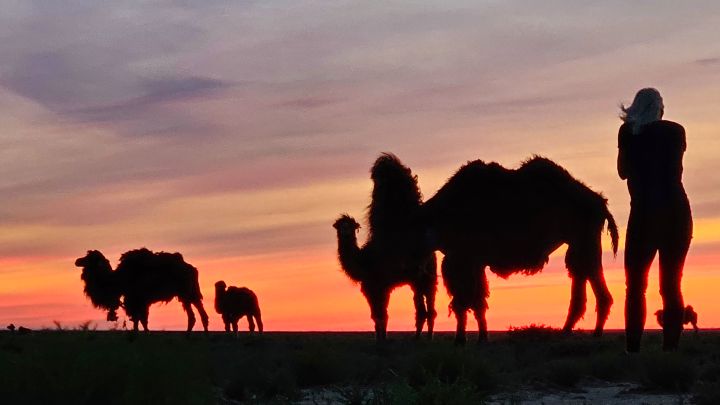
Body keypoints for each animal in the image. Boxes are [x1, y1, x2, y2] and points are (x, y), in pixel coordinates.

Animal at [75, 248, 209, 332]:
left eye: (90, 258)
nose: (77, 261)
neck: (118, 280)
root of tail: (193, 269)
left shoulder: (137, 300)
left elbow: (139, 320)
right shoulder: (139, 302)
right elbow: (141, 320)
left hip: (186, 293)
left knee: (195, 315)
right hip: (190, 294)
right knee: (199, 315)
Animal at [334, 154, 437, 341]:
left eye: (351, 226)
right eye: (340, 225)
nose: (345, 233)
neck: (364, 261)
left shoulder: (379, 285)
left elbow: (381, 315)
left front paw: (382, 339)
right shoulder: (371, 287)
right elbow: (377, 315)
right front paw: (379, 337)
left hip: (425, 277)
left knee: (427, 309)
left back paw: (425, 337)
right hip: (418, 278)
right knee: (423, 308)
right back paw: (420, 336)